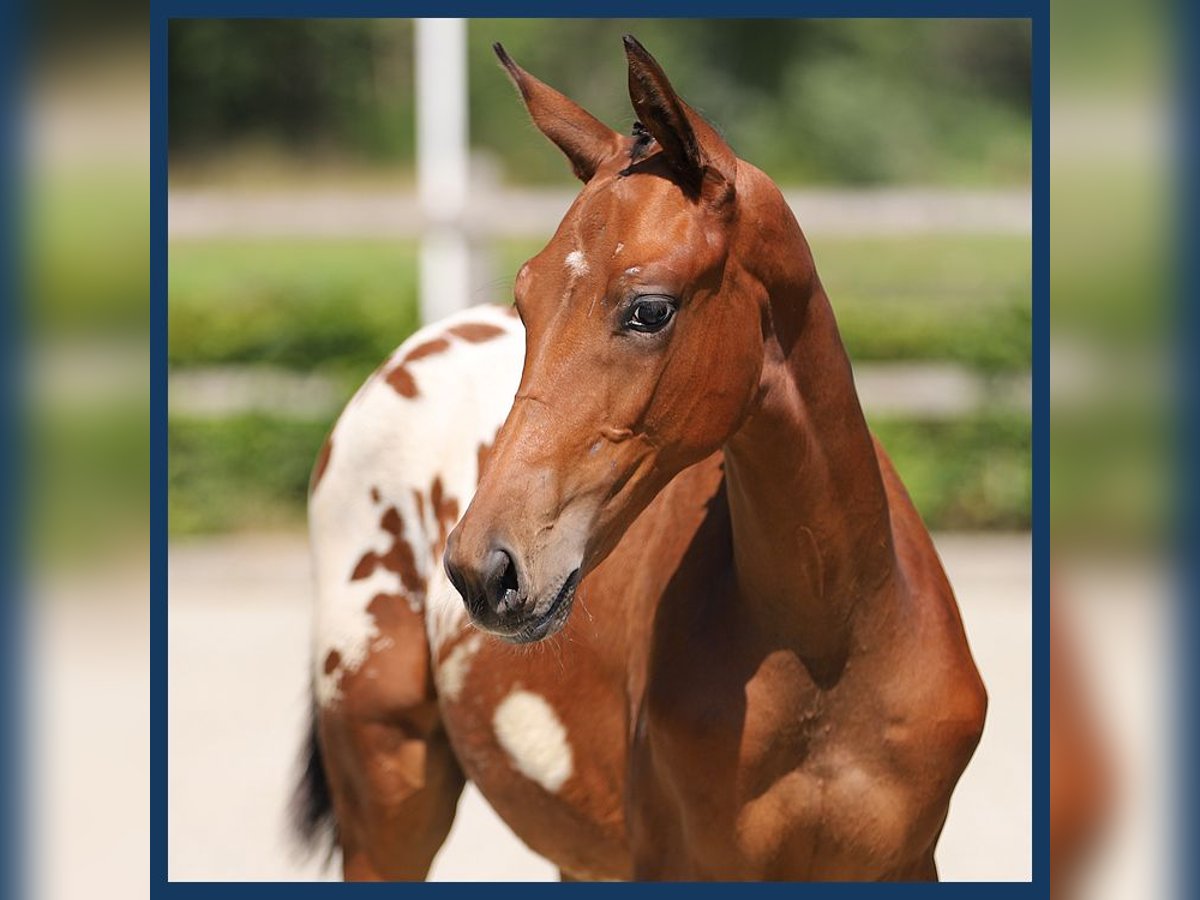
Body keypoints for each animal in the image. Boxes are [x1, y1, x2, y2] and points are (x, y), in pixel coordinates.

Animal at [292, 35, 984, 883]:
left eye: (649, 308)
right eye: (526, 300)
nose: (483, 569)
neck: (832, 648)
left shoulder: (905, 863)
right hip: (388, 804)